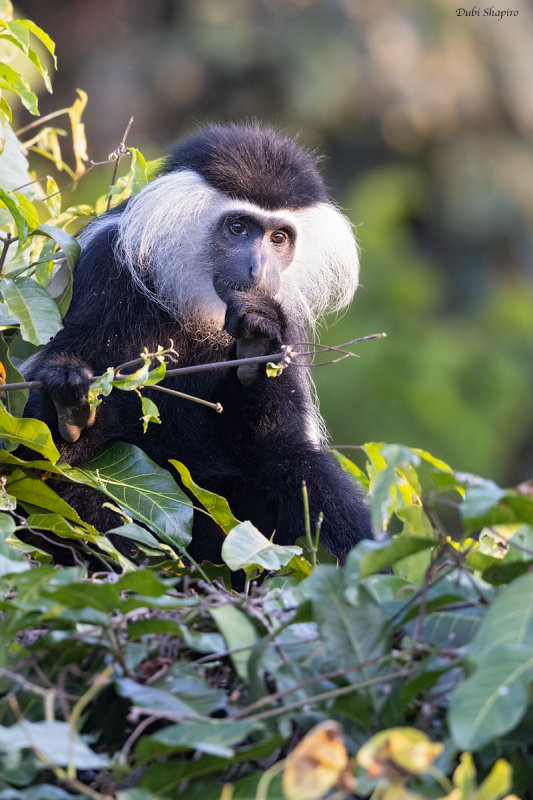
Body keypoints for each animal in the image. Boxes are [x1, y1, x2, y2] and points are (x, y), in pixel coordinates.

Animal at [25, 123, 372, 564]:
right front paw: (70, 407)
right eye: (238, 228)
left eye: (279, 238)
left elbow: (275, 441)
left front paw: (256, 345)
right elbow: (50, 458)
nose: (258, 270)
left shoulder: (285, 321)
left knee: (295, 468)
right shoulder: (106, 268)